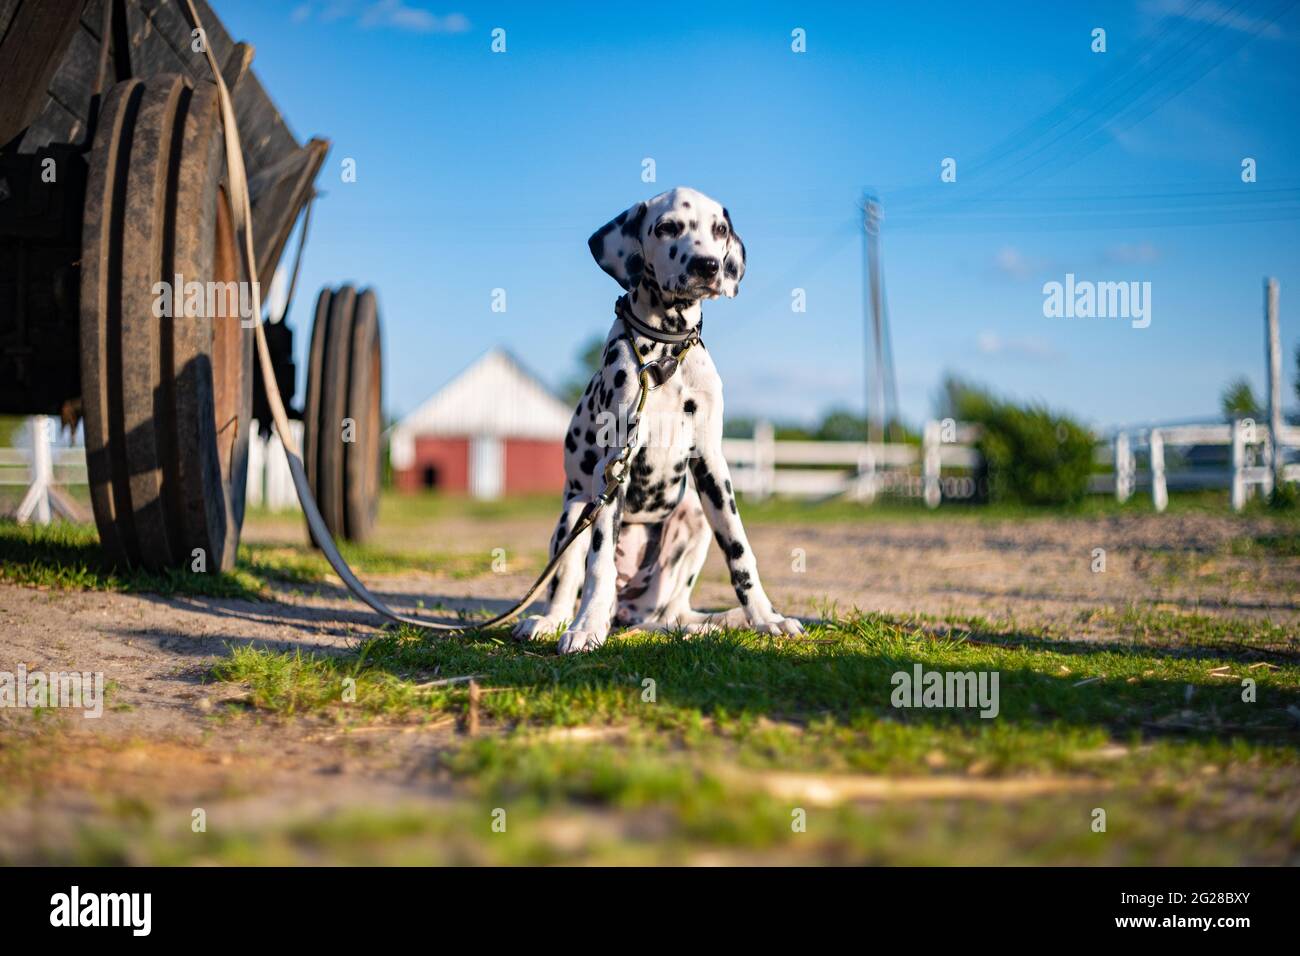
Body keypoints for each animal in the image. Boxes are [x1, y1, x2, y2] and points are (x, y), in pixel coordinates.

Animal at [514, 184, 800, 658]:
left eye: (719, 230)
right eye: (667, 227)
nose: (707, 265)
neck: (667, 350)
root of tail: (630, 612)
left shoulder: (711, 463)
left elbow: (740, 550)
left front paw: (766, 618)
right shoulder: (615, 465)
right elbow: (598, 564)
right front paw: (586, 628)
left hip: (693, 517)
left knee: (671, 613)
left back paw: (710, 623)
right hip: (575, 513)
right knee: (567, 584)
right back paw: (552, 622)